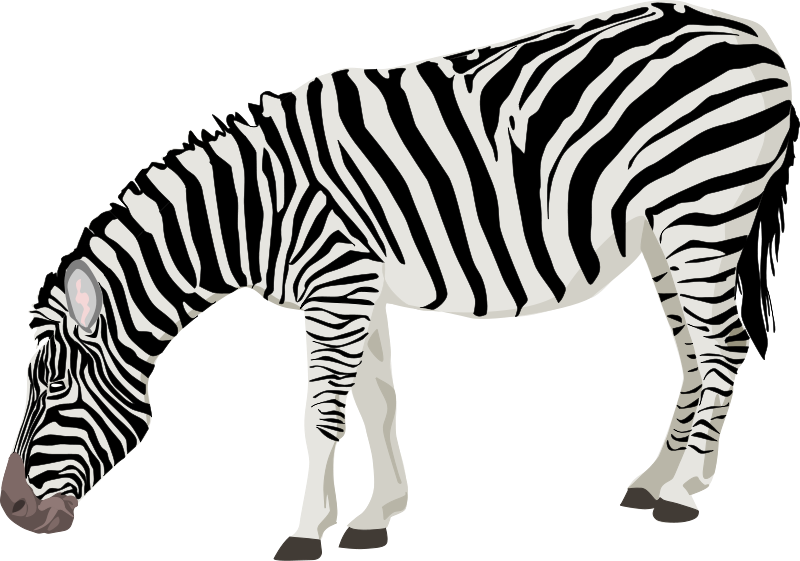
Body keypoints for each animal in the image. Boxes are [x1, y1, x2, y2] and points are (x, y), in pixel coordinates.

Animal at [1, 0, 790, 556]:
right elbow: (378, 404)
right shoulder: (361, 287)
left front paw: (308, 530)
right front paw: (376, 516)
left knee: (726, 344)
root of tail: (751, 29)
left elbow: (321, 415)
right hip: (664, 234)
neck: (250, 208)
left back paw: (684, 491)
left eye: (56, 389)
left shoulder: (337, 283)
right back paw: (655, 478)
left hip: (703, 208)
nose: (10, 509)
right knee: (693, 353)